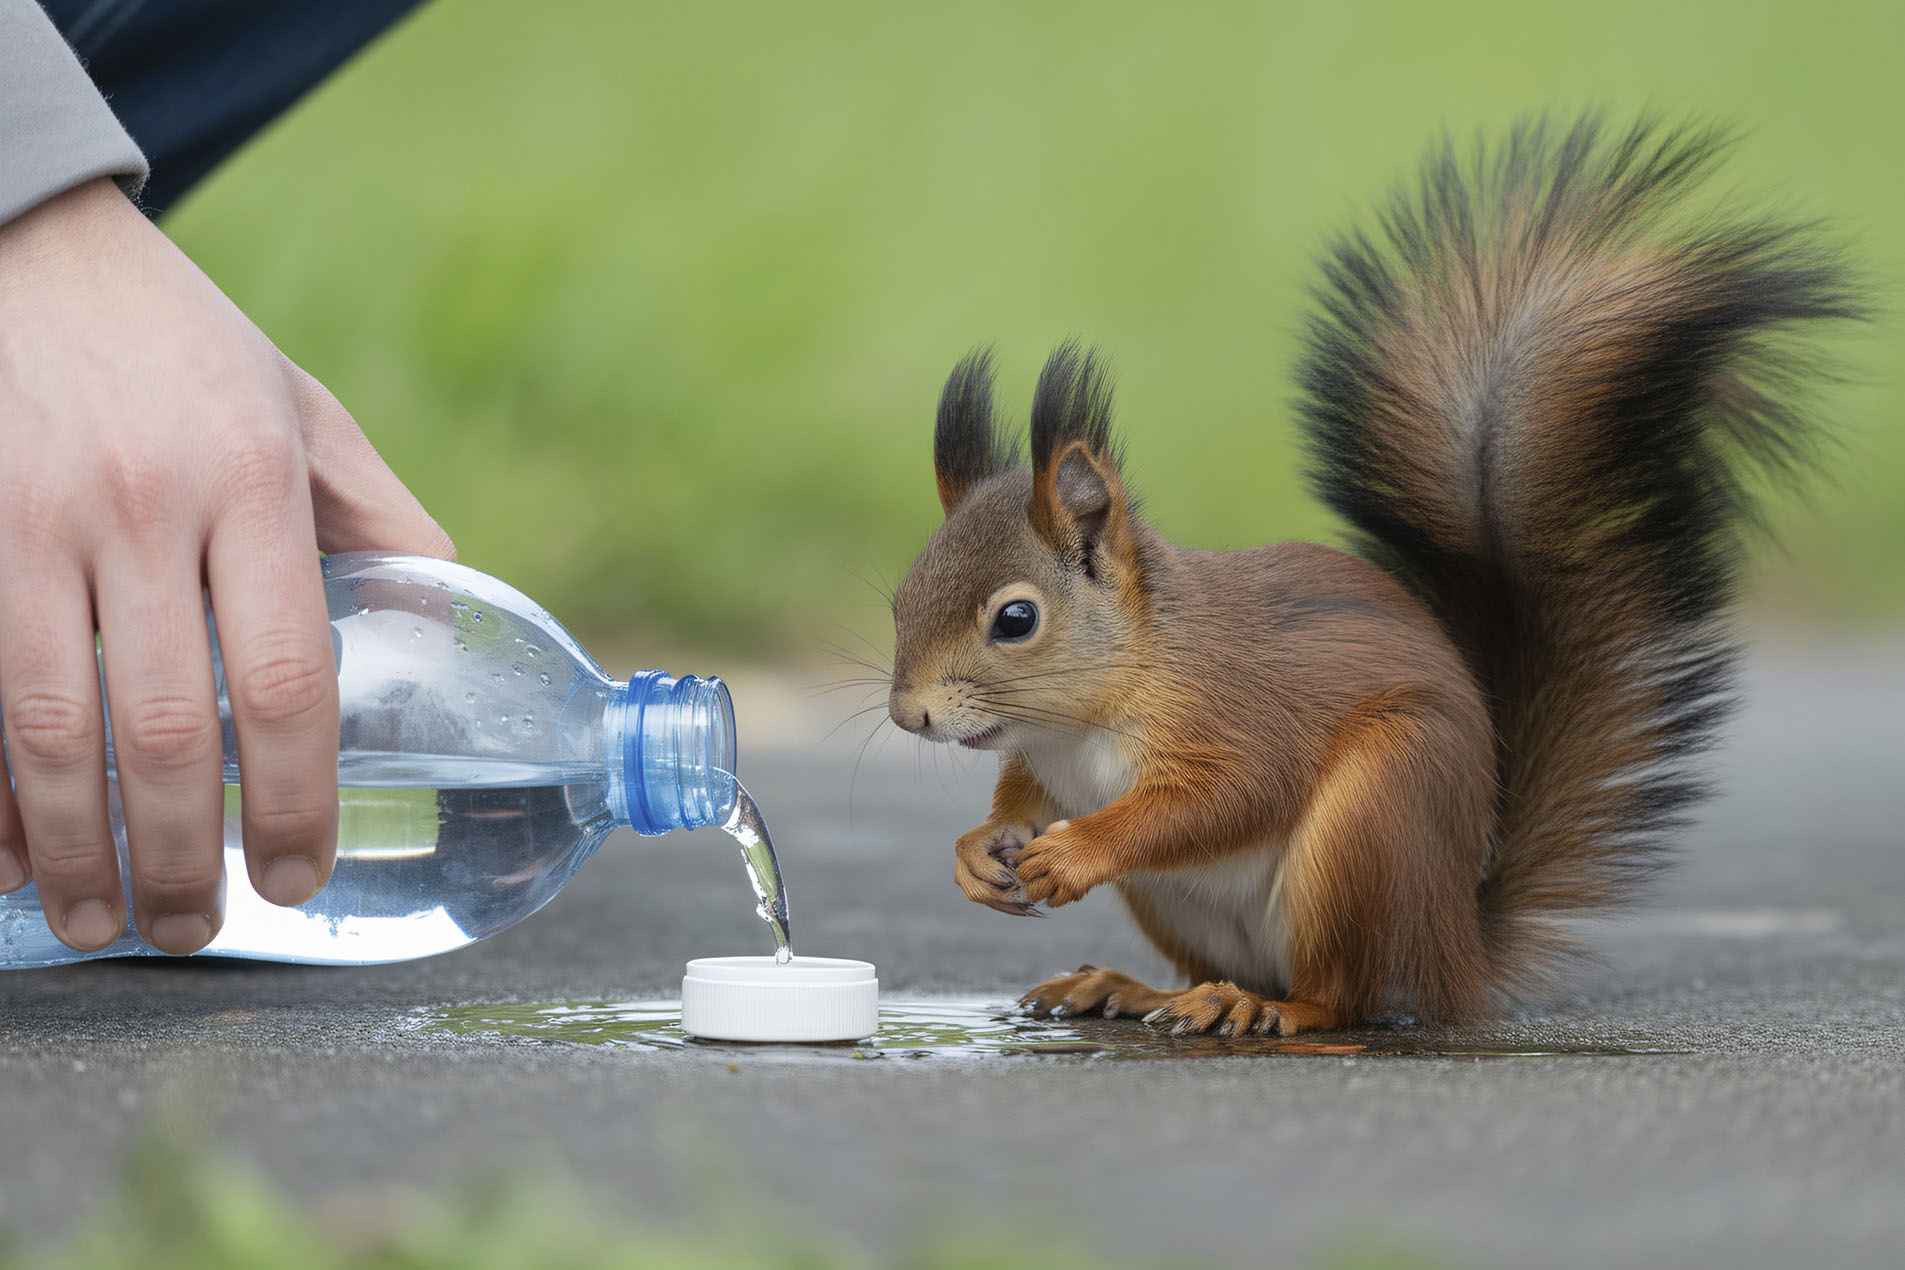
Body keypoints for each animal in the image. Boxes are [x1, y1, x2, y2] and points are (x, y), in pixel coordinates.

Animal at [883, 117, 1861, 1037]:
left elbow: (1228, 795)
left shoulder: (1236, 711)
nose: (909, 716)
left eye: (1015, 620)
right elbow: (1022, 797)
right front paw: (979, 849)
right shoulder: (1047, 763)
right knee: (1235, 971)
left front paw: (1072, 851)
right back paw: (1133, 989)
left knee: (1341, 995)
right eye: (898, 601)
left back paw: (1261, 1011)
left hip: (1374, 821)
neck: (1084, 715)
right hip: (1182, 901)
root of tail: (1455, 950)